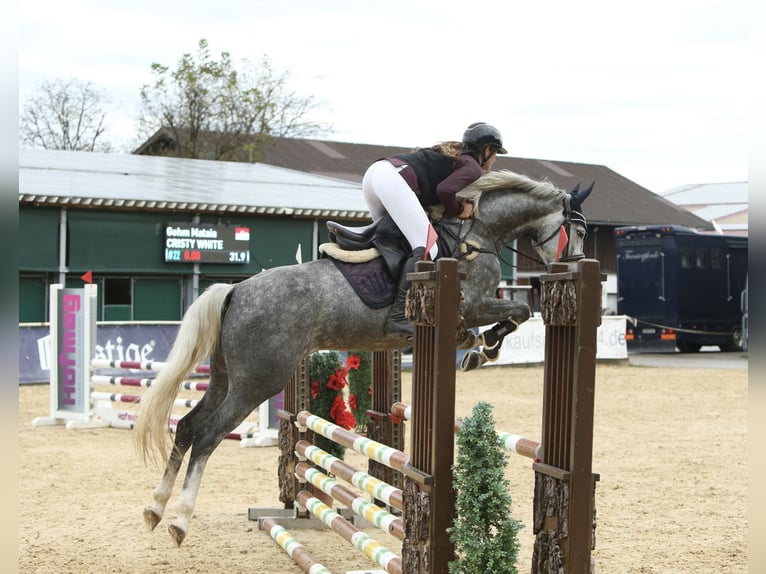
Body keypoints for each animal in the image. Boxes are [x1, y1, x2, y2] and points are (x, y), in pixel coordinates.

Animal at [134, 168, 592, 548]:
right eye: (577, 230)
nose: (572, 266)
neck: (474, 234)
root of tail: (235, 290)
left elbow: (515, 314)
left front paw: (480, 347)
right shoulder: (476, 303)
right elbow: (518, 312)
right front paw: (484, 348)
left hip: (226, 377)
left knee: (188, 427)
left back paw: (155, 508)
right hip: (258, 381)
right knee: (208, 435)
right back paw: (179, 521)